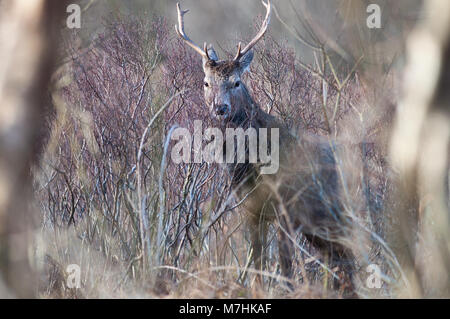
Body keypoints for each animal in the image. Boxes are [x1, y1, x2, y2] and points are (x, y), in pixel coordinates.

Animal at [175, 0, 356, 296]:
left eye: (236, 82)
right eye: (206, 82)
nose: (220, 108)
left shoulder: (286, 207)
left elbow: (285, 263)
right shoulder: (250, 208)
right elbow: (257, 259)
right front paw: (257, 289)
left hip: (337, 214)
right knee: (340, 261)